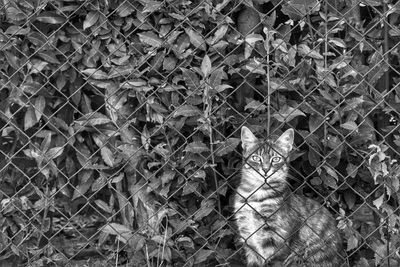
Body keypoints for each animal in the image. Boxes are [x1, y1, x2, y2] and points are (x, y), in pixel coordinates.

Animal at [233, 127, 342, 267]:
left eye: (276, 159)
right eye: (256, 158)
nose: (265, 169)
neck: (256, 196)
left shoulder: (278, 242)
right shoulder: (248, 237)